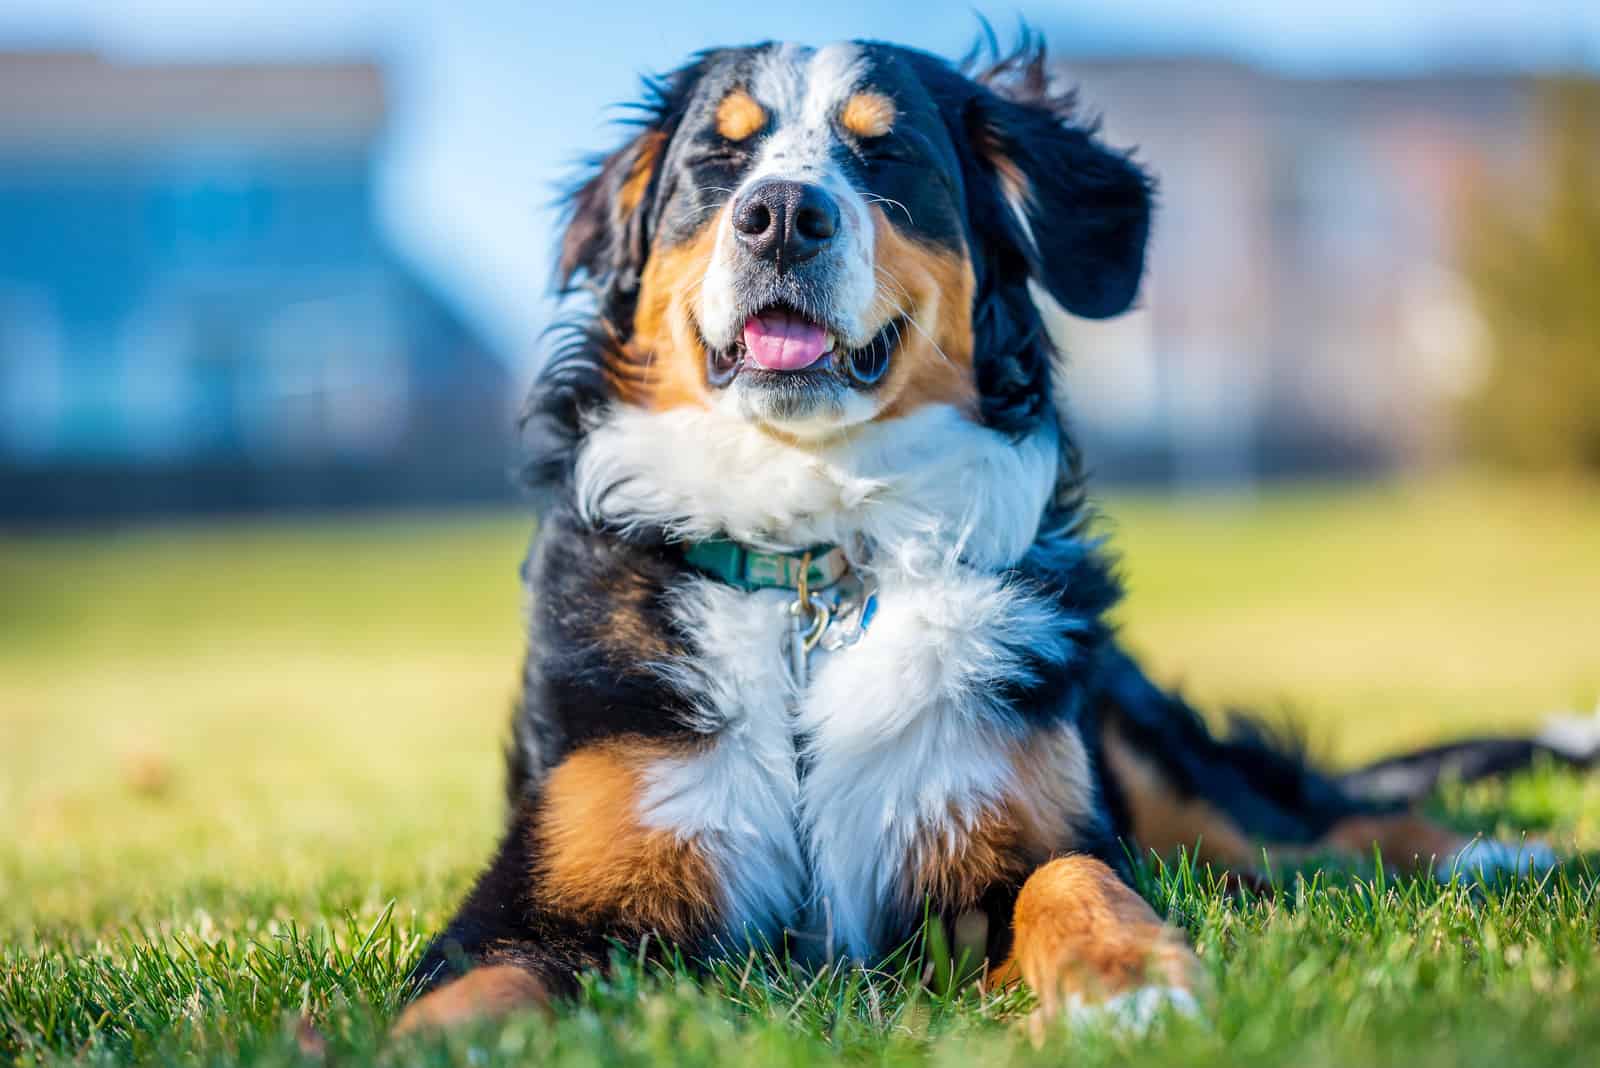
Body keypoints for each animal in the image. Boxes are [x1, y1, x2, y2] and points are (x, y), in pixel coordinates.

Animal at [393, 37, 1593, 1029]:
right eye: (717, 162)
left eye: (888, 152)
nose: (780, 215)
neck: (816, 560)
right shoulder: (549, 899)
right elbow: (471, 995)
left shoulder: (1004, 839)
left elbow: (1074, 875)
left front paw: (1125, 979)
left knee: (1326, 831)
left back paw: (1516, 855)